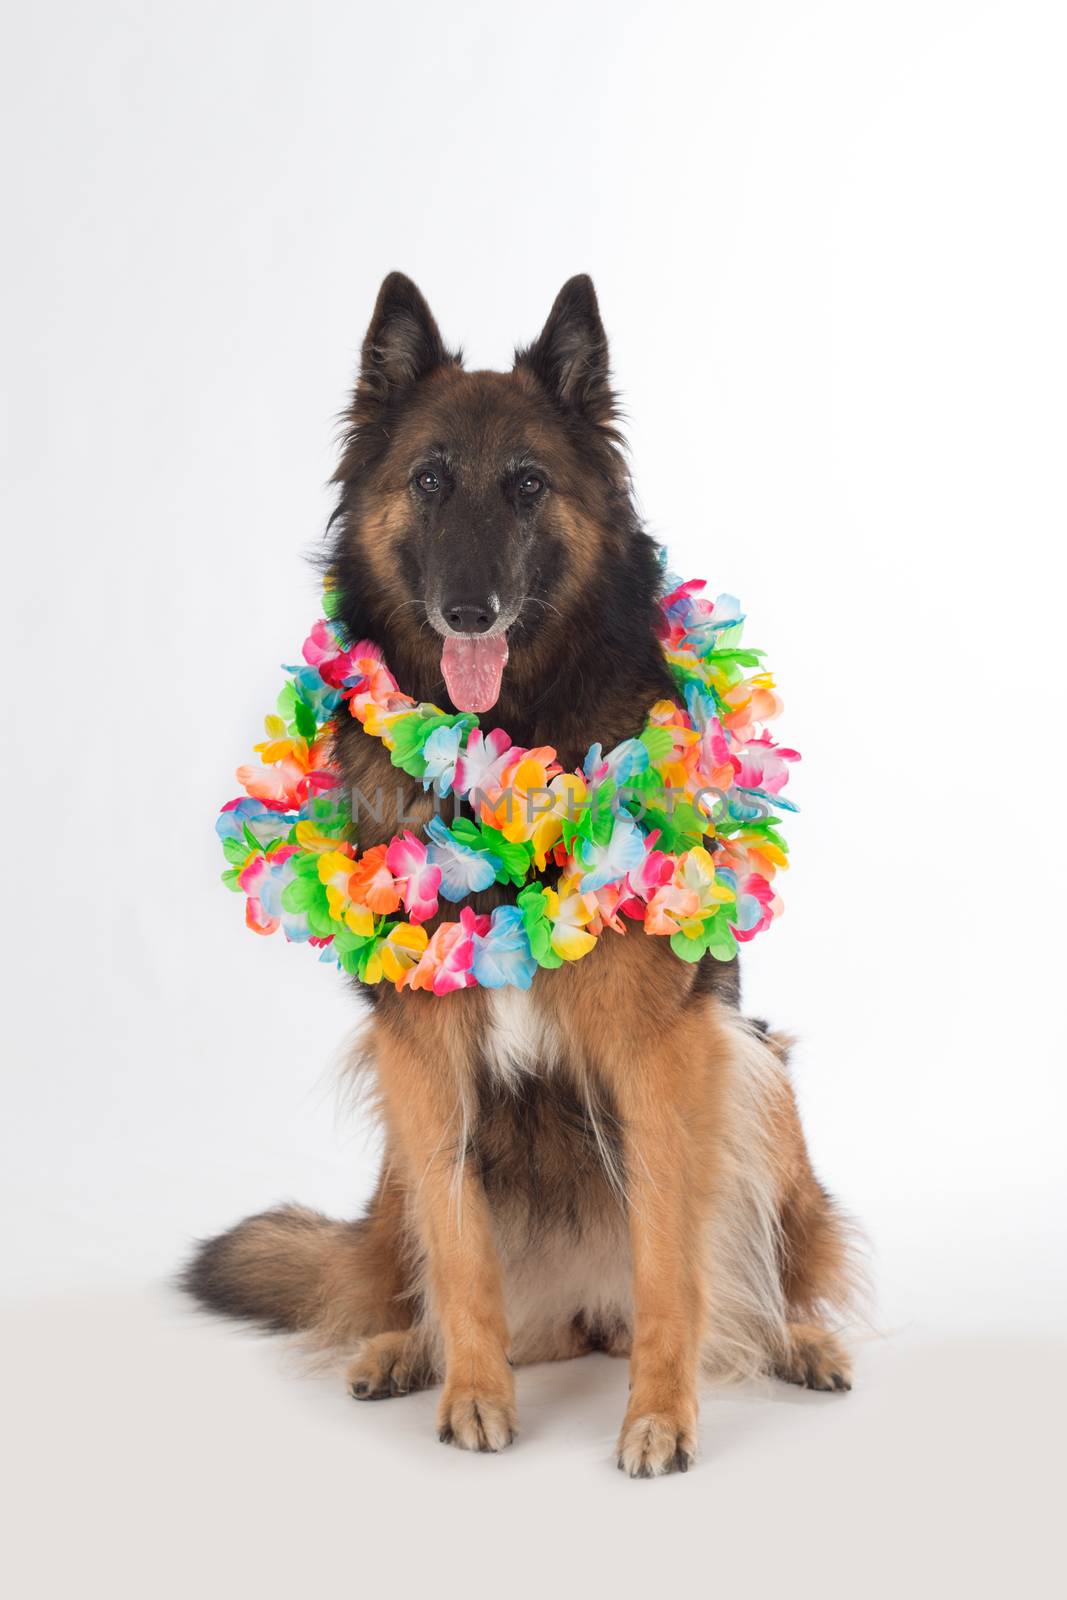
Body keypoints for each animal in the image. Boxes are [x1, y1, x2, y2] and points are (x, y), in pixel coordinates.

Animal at [185, 272, 857, 1472]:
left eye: (529, 486)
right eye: (429, 480)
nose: (470, 612)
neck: (511, 735)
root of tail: (579, 1314)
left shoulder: (663, 1050)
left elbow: (671, 1257)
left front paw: (659, 1416)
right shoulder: (420, 1049)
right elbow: (457, 1253)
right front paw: (471, 1392)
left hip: (756, 1069)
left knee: (757, 1267)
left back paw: (794, 1340)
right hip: (399, 1145)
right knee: (408, 1268)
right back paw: (406, 1349)